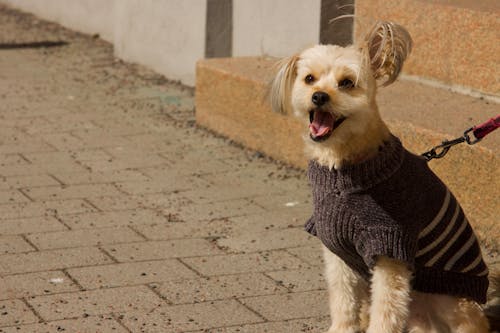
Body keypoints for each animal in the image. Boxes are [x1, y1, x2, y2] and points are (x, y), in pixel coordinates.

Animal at [268, 21, 494, 332]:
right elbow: (343, 301)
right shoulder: (337, 250)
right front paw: (343, 327)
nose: (319, 96)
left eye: (347, 83)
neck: (344, 165)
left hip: (448, 298)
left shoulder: (390, 248)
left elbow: (385, 309)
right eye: (309, 79)